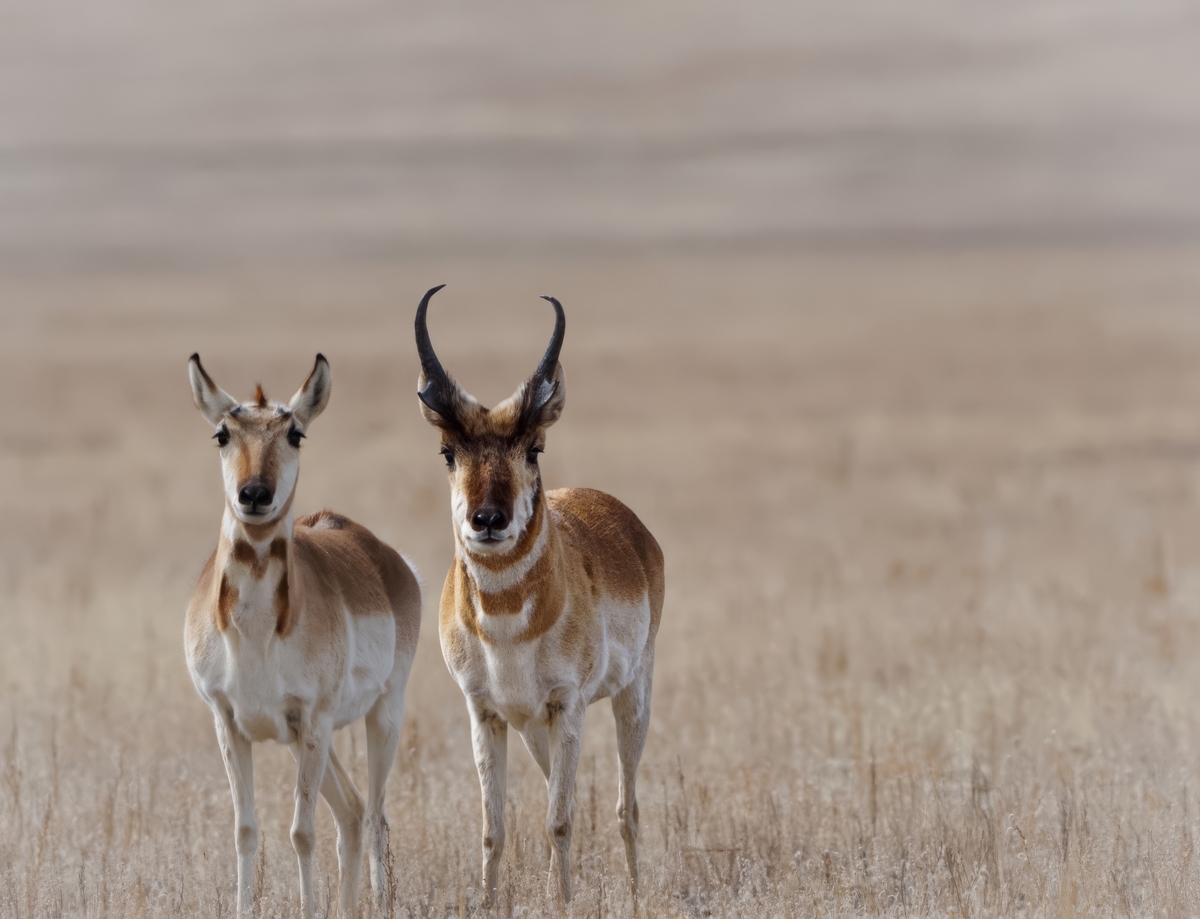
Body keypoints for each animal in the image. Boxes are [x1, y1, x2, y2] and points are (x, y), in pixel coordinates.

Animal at [182, 355, 417, 919]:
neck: (257, 635)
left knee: (374, 816)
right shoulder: (231, 722)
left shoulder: (312, 718)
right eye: (222, 433)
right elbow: (246, 831)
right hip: (308, 740)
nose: (254, 494)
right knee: (352, 811)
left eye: (295, 433)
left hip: (380, 717)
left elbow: (301, 833)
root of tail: (383, 555)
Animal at [417, 287, 667, 907]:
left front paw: (563, 901)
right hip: (532, 727)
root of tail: (627, 523)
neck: (509, 626)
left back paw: (633, 893)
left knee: (626, 806)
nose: (488, 520)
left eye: (534, 448)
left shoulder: (567, 706)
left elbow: (559, 818)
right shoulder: (487, 713)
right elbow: (494, 827)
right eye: (448, 452)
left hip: (632, 698)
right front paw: (486, 903)